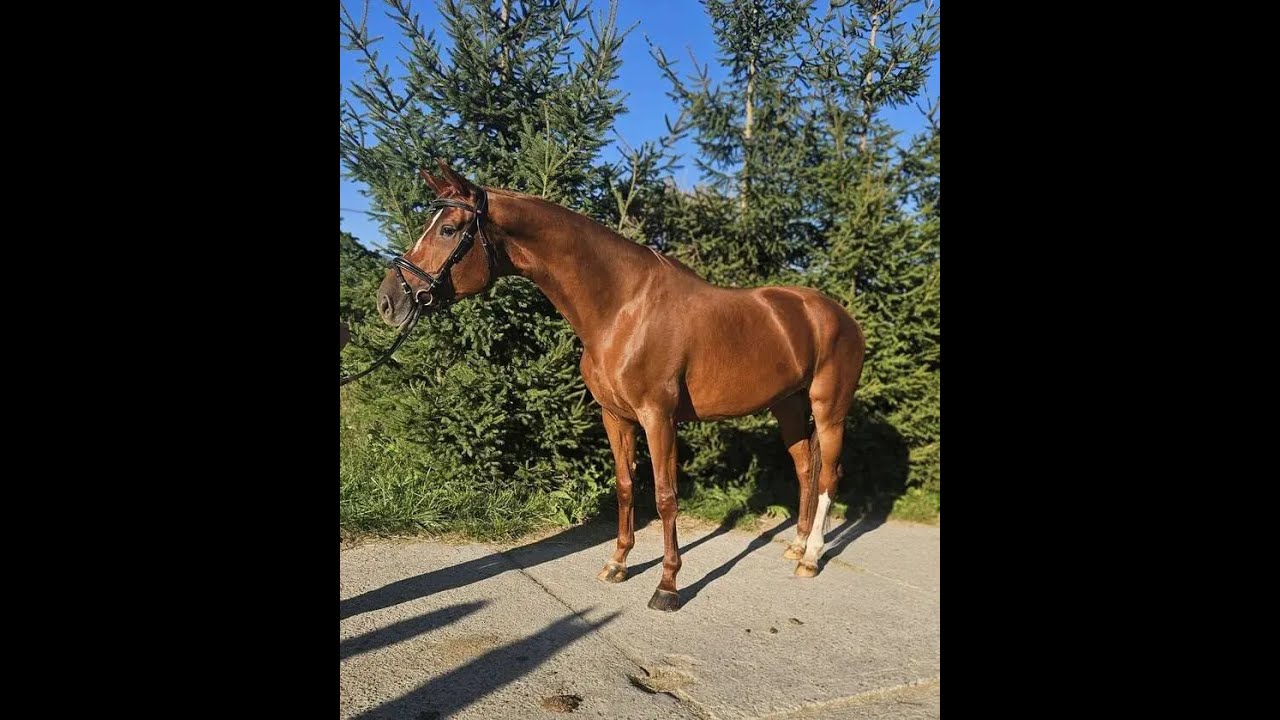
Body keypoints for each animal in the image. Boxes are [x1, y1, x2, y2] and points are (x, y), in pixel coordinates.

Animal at [374, 159, 865, 612]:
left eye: (449, 229)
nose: (388, 301)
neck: (622, 307)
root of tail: (837, 314)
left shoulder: (658, 417)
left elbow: (665, 497)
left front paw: (667, 585)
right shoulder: (616, 417)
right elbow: (626, 486)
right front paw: (618, 564)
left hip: (829, 409)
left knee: (830, 474)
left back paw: (811, 557)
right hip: (788, 406)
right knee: (805, 469)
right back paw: (796, 546)